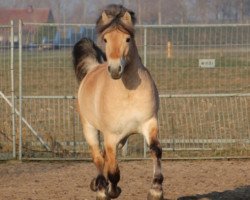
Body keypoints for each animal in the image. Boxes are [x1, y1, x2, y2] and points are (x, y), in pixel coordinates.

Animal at [73, 4, 164, 200]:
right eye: (106, 39)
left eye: (128, 38)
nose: (115, 69)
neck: (127, 94)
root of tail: (92, 69)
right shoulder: (110, 136)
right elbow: (113, 170)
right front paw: (112, 190)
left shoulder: (149, 123)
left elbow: (155, 150)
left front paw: (156, 189)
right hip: (90, 129)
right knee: (99, 157)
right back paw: (101, 189)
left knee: (104, 158)